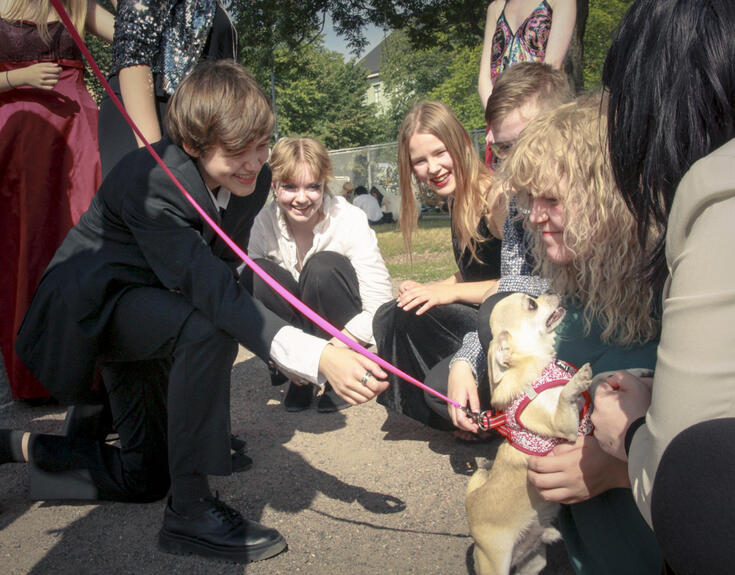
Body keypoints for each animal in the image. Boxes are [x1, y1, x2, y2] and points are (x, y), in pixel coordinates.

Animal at [468, 294, 596, 572]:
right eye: (531, 305)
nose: (551, 291)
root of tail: (471, 504)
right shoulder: (565, 426)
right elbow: (566, 397)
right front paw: (577, 380)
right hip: (493, 563)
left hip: (535, 561)